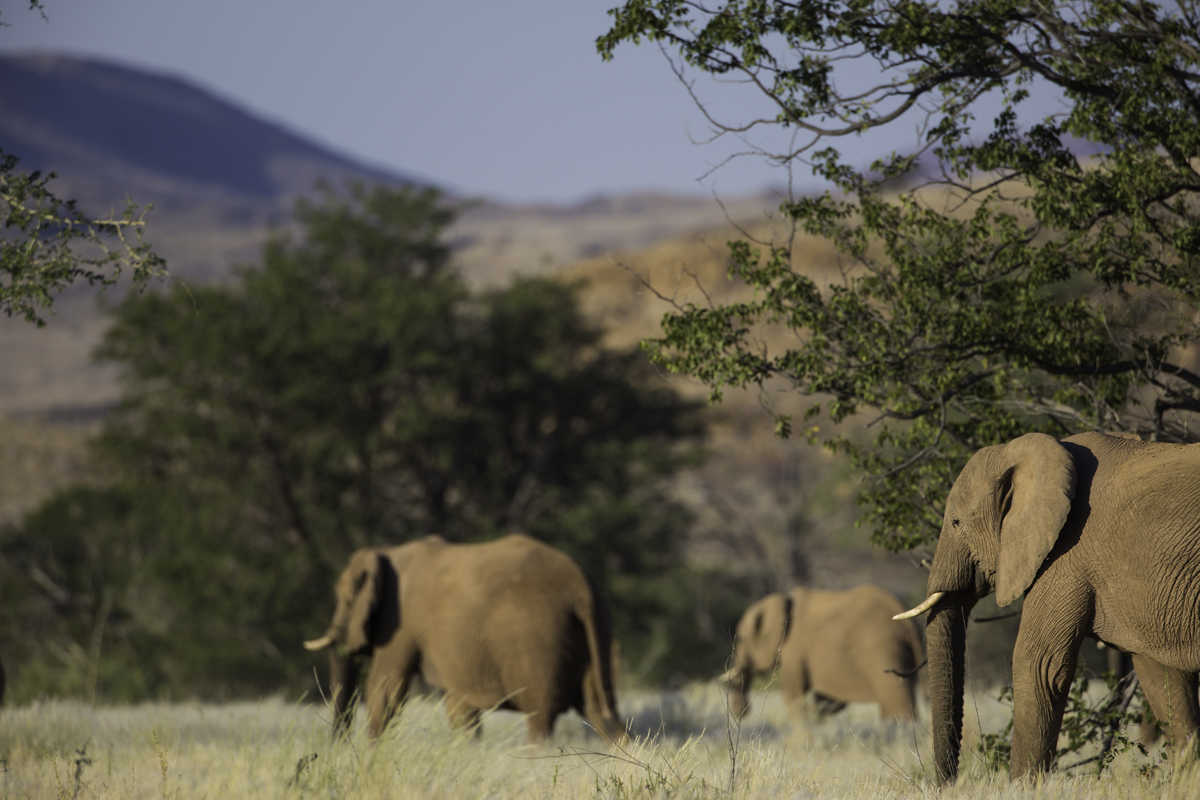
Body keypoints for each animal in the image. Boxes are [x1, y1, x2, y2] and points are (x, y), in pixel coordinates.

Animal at [302, 532, 628, 743]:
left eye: (344, 599)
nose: (335, 748)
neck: (388, 552)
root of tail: (582, 589)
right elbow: (458, 707)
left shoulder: (399, 623)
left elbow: (385, 688)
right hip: (594, 633)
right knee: (601, 712)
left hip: (540, 641)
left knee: (541, 716)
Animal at [720, 585, 926, 724]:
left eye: (742, 640)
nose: (742, 713)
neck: (783, 600)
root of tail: (911, 625)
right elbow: (826, 702)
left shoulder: (794, 648)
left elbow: (794, 697)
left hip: (882, 650)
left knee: (897, 701)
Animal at [897, 434, 1200, 786]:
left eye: (957, 523)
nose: (946, 784)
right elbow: (1162, 677)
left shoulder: (1067, 553)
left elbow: (1038, 664)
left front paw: (1022, 788)